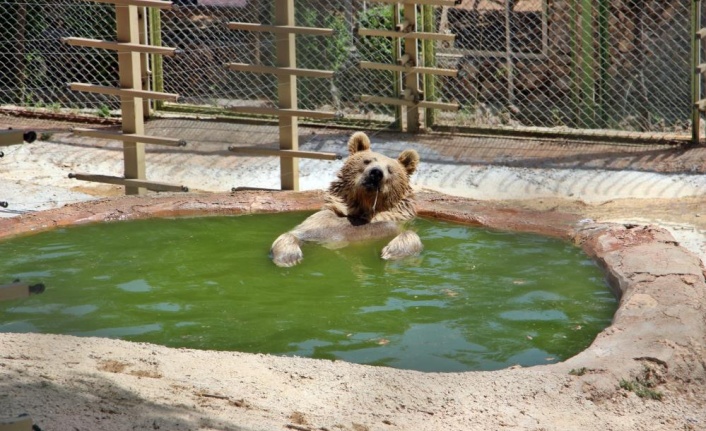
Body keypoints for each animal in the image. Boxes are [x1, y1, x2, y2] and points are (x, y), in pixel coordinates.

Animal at [270, 131, 423, 267]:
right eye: (367, 161)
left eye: (390, 170)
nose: (376, 173)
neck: (361, 212)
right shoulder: (321, 225)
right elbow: (294, 234)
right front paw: (289, 257)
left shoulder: (391, 225)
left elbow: (410, 235)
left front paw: (391, 251)